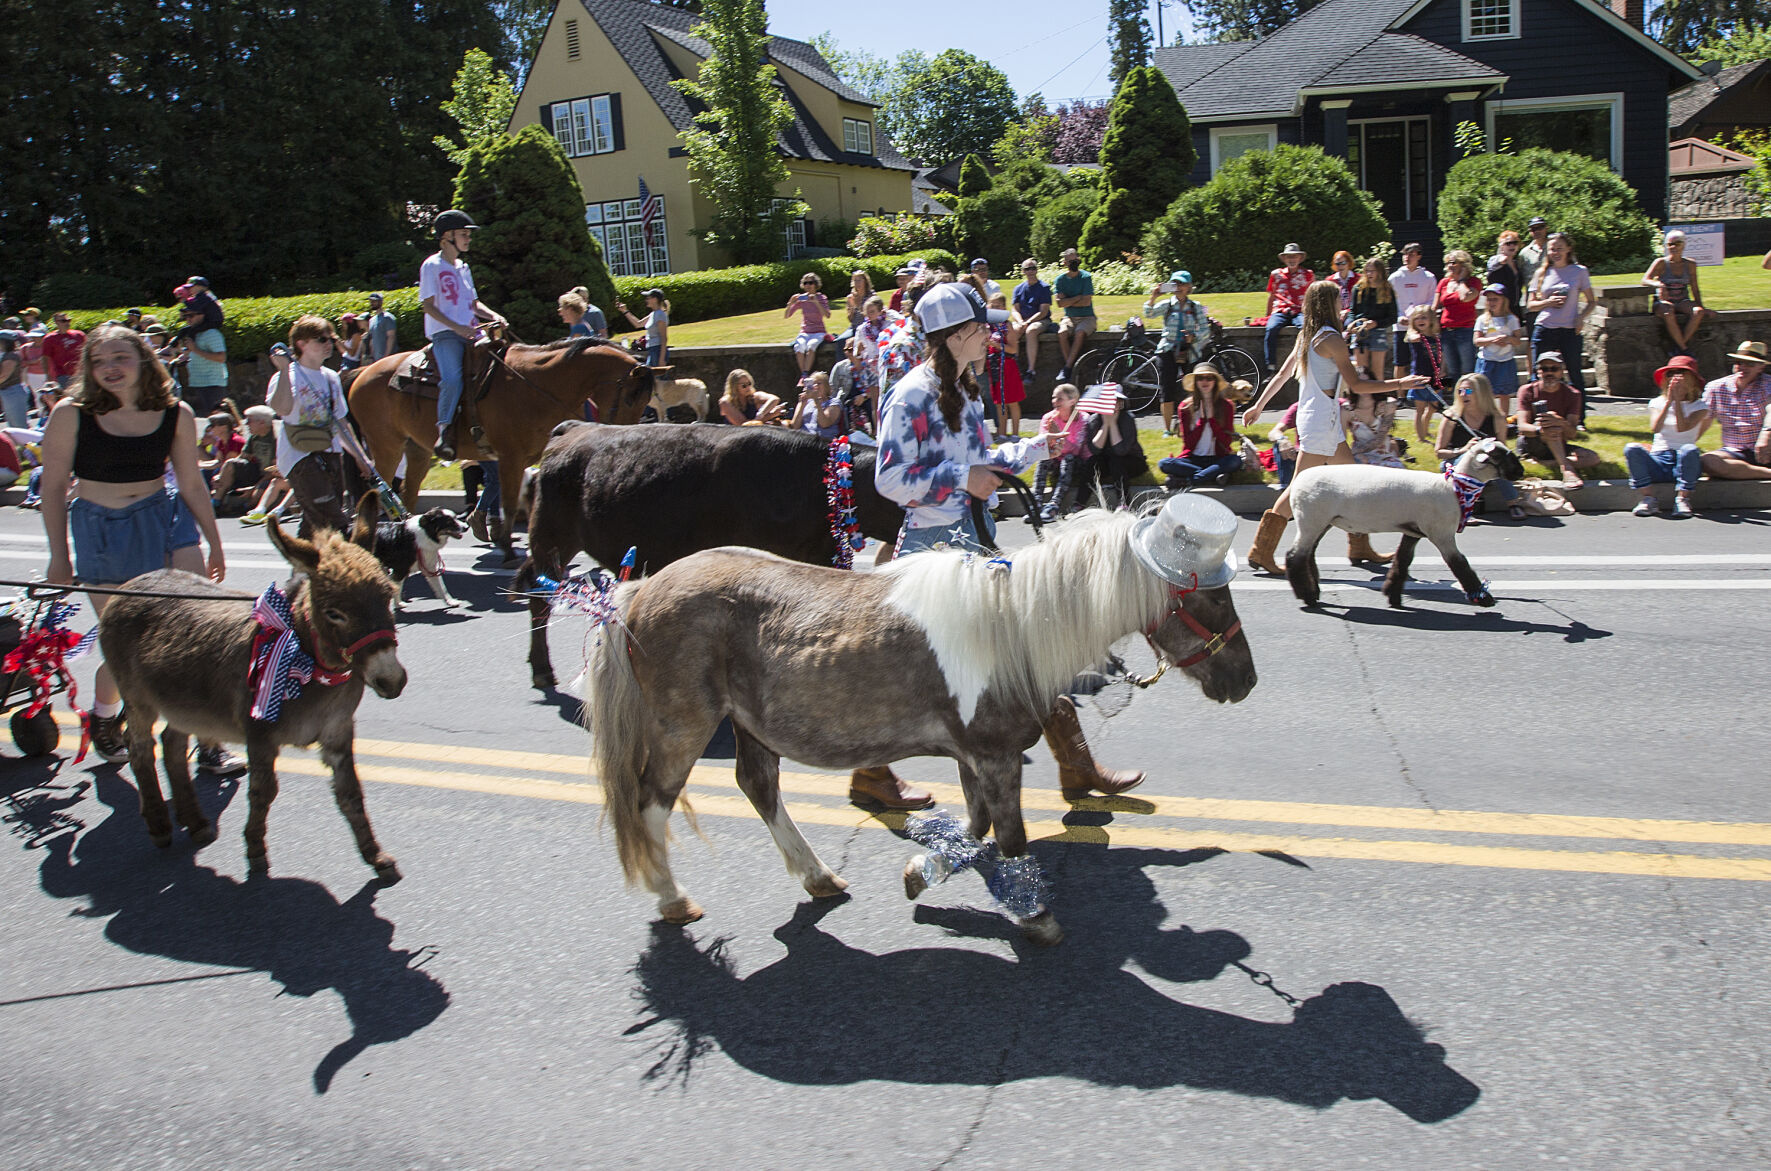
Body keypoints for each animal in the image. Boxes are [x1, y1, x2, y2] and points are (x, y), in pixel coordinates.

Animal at [348, 338, 655, 556]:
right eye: (630, 396)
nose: (629, 436)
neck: (535, 385)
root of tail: (361, 372)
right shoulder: (510, 457)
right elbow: (507, 501)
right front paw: (507, 550)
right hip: (386, 446)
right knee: (379, 490)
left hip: (417, 450)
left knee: (407, 494)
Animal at [587, 506, 1253, 942]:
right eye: (1213, 597)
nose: (1244, 680)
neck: (1012, 630)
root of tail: (640, 592)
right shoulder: (993, 756)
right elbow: (1010, 837)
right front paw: (1036, 917)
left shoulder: (971, 758)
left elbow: (976, 829)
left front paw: (921, 872)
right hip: (683, 726)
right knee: (651, 803)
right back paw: (675, 900)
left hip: (749, 725)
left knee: (758, 786)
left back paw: (819, 876)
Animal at [1282, 434, 1530, 605]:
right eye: (1500, 455)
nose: (1521, 472)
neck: (1452, 487)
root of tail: (1298, 481)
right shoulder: (1442, 533)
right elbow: (1460, 564)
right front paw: (1484, 598)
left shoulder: (1413, 531)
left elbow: (1402, 562)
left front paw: (1392, 596)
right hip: (1311, 519)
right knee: (1295, 556)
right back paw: (1307, 597)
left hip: (1320, 521)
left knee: (1307, 555)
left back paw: (1313, 591)